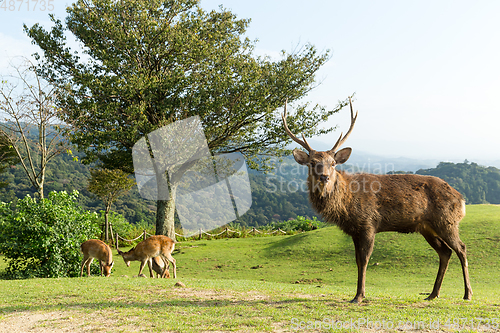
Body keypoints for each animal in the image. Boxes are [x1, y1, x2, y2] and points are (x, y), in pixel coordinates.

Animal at [284, 97, 470, 302]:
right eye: (312, 163)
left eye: (332, 163)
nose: (324, 177)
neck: (346, 205)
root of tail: (461, 199)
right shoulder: (354, 230)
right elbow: (357, 260)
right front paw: (358, 293)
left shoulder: (368, 223)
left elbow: (364, 260)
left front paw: (359, 296)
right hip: (426, 227)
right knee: (445, 252)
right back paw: (432, 294)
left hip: (447, 221)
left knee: (461, 248)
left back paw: (467, 294)